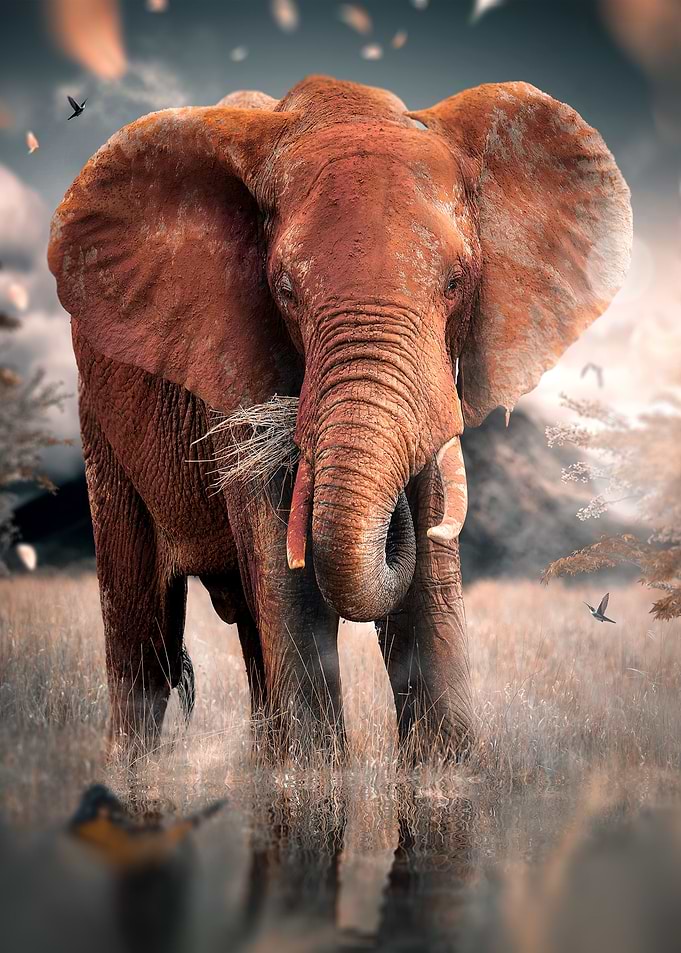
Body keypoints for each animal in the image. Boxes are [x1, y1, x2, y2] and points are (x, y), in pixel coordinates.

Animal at [48, 76, 632, 762]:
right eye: (283, 290)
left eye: (458, 281)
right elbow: (291, 582)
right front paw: (313, 776)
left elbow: (425, 582)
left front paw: (444, 771)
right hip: (98, 425)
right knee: (145, 638)